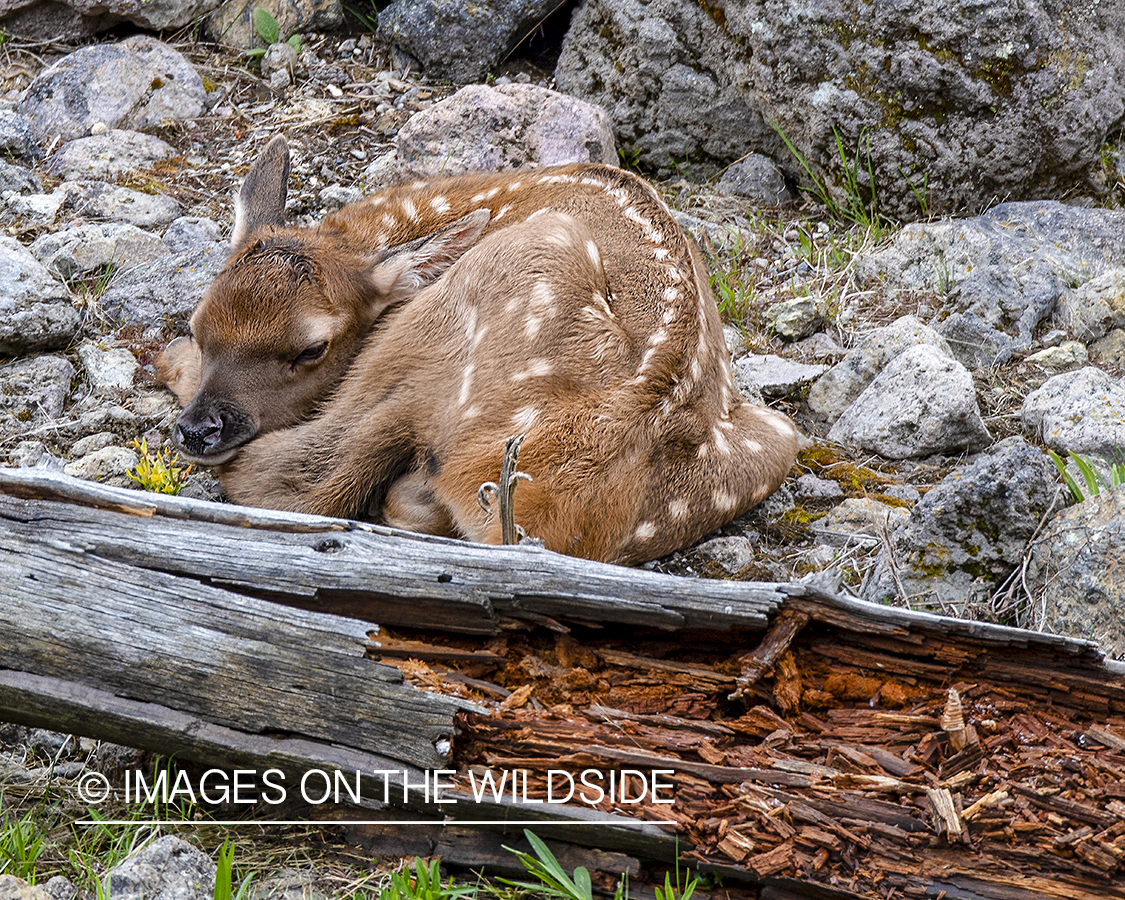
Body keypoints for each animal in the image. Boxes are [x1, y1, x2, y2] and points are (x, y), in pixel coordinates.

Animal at [158, 135, 801, 562]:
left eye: (312, 349)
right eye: (199, 322)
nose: (198, 430)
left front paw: (166, 363)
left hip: (451, 323)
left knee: (297, 477)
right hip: (780, 436)